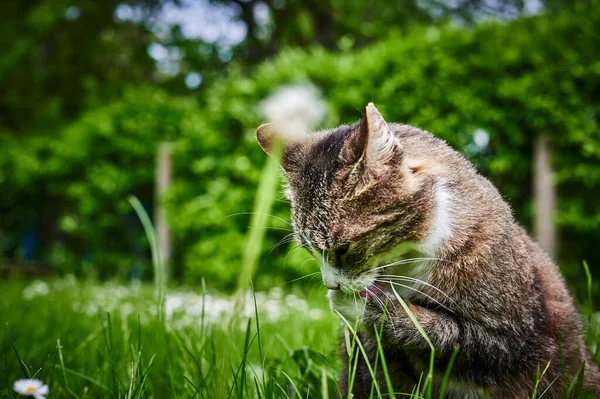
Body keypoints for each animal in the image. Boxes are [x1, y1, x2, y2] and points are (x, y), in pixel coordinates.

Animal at [255, 104, 600, 399]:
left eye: (344, 248)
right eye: (309, 249)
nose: (332, 285)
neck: (405, 263)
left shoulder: (505, 340)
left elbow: (439, 328)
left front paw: (362, 305)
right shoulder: (373, 359)